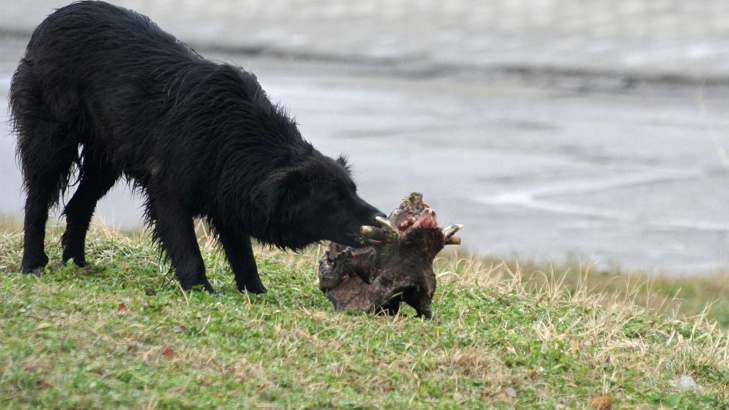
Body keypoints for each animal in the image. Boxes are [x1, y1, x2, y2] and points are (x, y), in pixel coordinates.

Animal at [9, 0, 386, 294]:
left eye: (353, 191)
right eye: (334, 200)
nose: (381, 221)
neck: (233, 136)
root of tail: (50, 21)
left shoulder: (227, 193)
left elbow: (242, 253)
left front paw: (256, 292)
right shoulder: (168, 192)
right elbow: (187, 246)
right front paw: (199, 289)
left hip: (106, 157)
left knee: (78, 206)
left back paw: (77, 263)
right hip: (51, 139)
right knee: (37, 201)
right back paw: (33, 263)